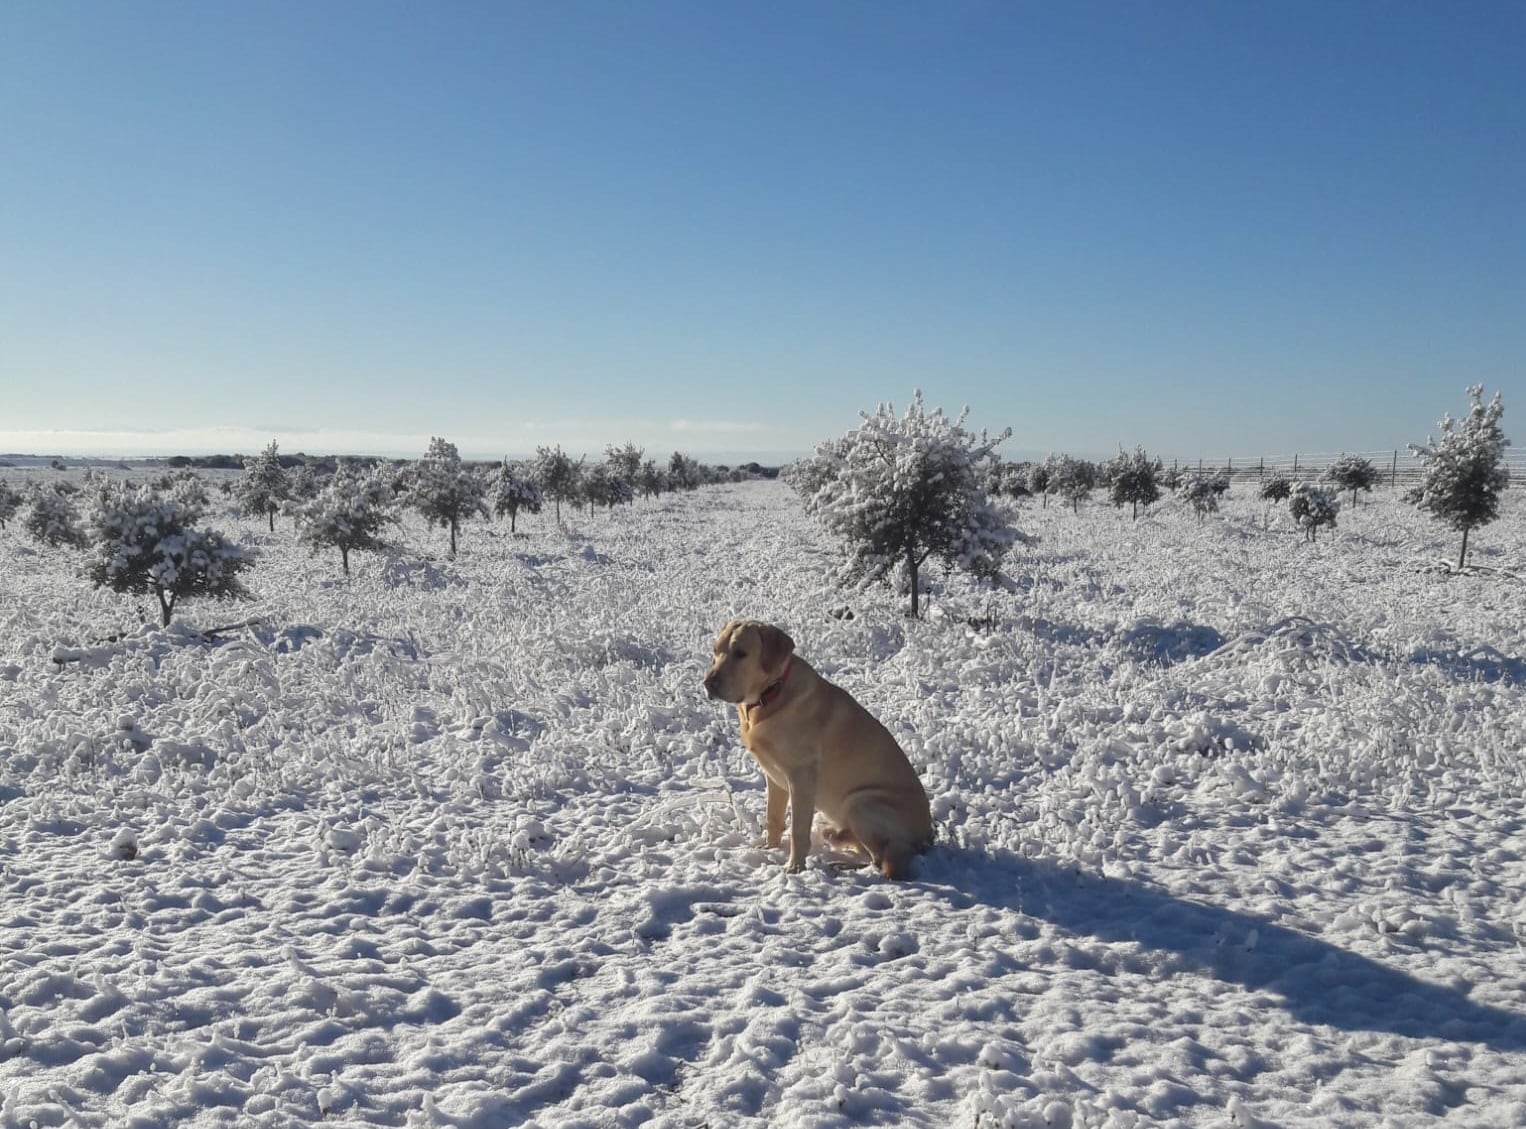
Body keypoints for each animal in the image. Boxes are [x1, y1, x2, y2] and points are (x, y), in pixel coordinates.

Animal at [698, 622, 927, 878]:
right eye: (716, 651)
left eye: (741, 653)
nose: (709, 683)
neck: (771, 695)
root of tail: (928, 838)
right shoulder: (774, 778)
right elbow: (773, 817)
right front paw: (770, 847)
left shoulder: (801, 776)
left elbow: (798, 830)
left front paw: (794, 867)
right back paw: (838, 836)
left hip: (861, 803)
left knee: (879, 860)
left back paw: (843, 864)